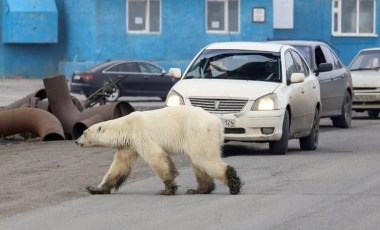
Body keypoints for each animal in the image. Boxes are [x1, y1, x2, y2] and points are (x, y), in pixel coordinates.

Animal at [75, 105, 242, 194]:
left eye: (84, 132)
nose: (76, 141)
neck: (125, 126)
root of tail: (218, 123)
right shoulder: (128, 145)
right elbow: (119, 166)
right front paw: (95, 188)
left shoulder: (140, 133)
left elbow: (156, 157)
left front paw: (167, 189)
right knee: (199, 163)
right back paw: (199, 189)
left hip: (197, 131)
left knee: (203, 158)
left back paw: (233, 183)